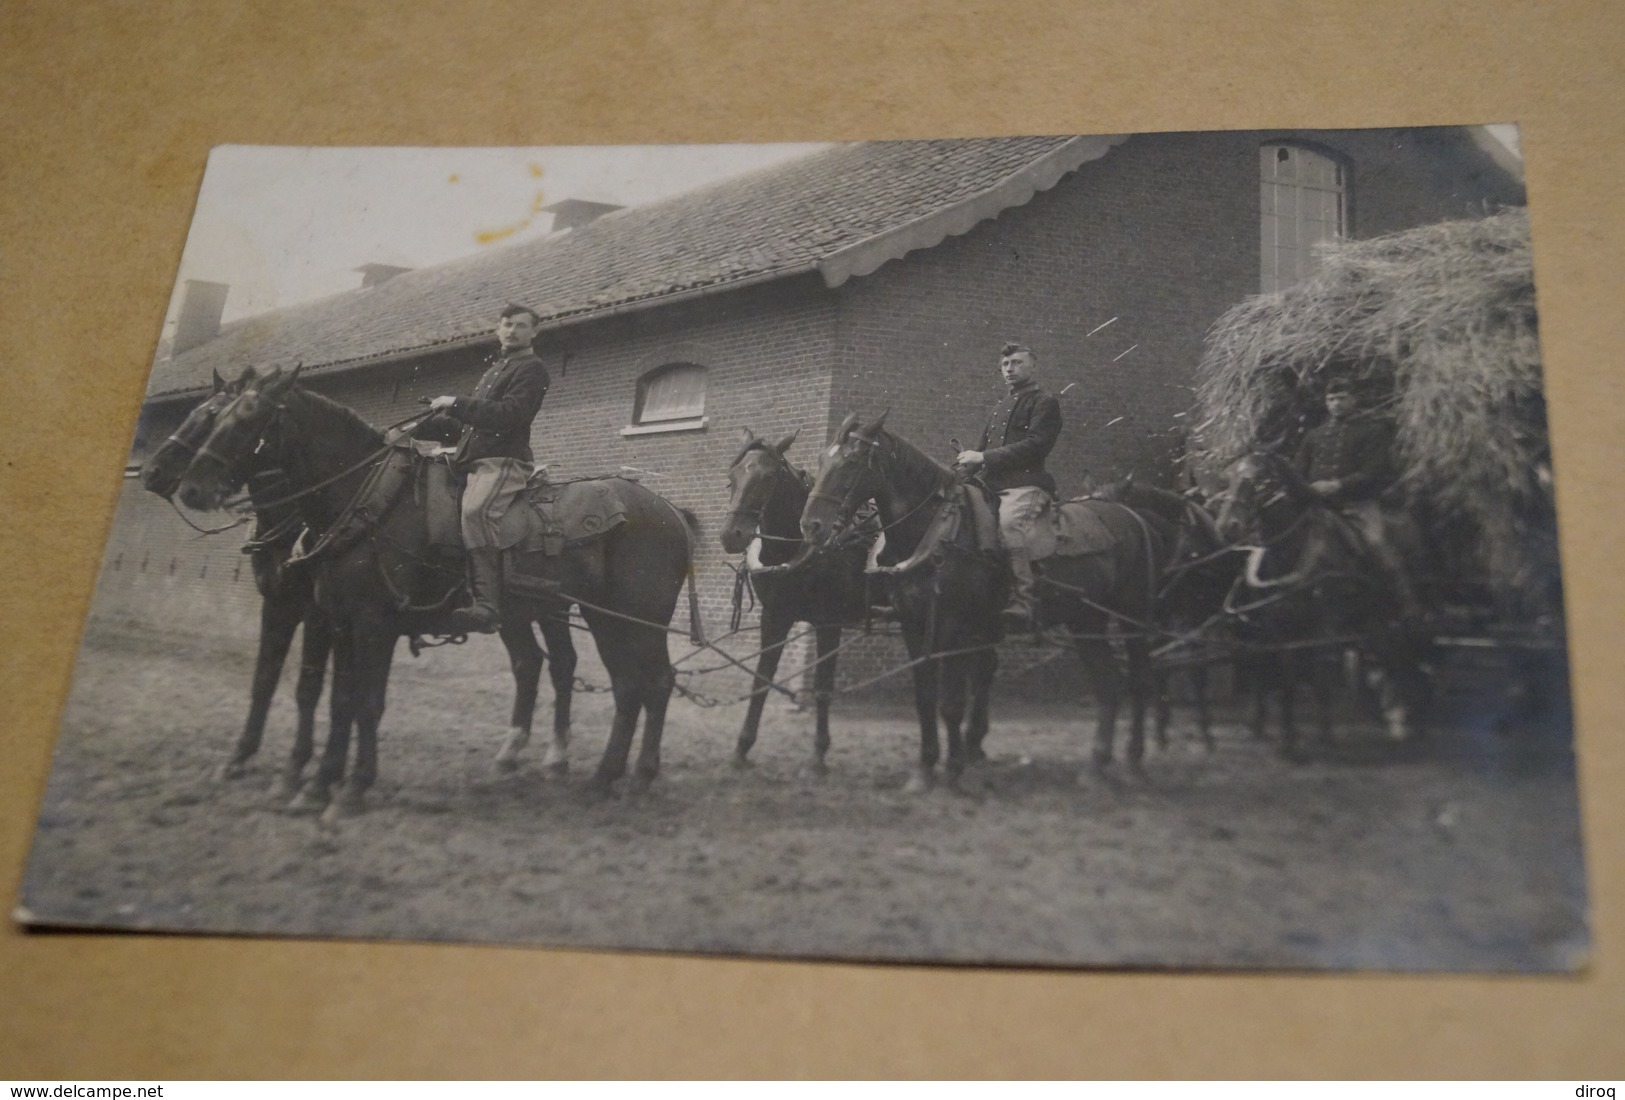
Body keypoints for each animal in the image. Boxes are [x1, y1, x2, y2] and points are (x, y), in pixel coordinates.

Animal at [138, 373, 333, 792]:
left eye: (211, 417)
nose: (151, 473)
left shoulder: (318, 616)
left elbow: (308, 688)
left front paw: (297, 766)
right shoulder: (276, 605)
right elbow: (264, 679)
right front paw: (241, 755)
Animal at [177, 363, 698, 812]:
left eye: (247, 418)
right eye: (214, 415)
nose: (189, 487)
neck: (367, 499)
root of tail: (670, 511)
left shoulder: (369, 623)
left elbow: (361, 702)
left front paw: (348, 787)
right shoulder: (338, 620)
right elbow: (335, 699)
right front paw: (316, 785)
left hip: (634, 621)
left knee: (649, 683)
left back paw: (629, 776)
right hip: (587, 616)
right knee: (610, 682)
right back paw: (600, 774)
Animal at [721, 425, 877, 766]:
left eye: (768, 477)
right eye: (732, 475)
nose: (731, 535)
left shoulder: (829, 623)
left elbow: (822, 687)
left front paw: (820, 751)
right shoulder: (775, 617)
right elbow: (761, 680)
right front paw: (742, 747)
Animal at [1215, 451, 1430, 750]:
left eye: (1261, 480)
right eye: (1231, 476)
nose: (1227, 526)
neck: (1290, 551)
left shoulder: (1325, 626)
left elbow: (1321, 674)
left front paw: (1326, 735)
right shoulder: (1278, 626)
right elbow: (1287, 676)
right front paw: (1288, 740)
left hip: (1396, 614)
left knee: (1408, 650)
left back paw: (1411, 723)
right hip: (1371, 617)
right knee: (1390, 656)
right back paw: (1396, 719)